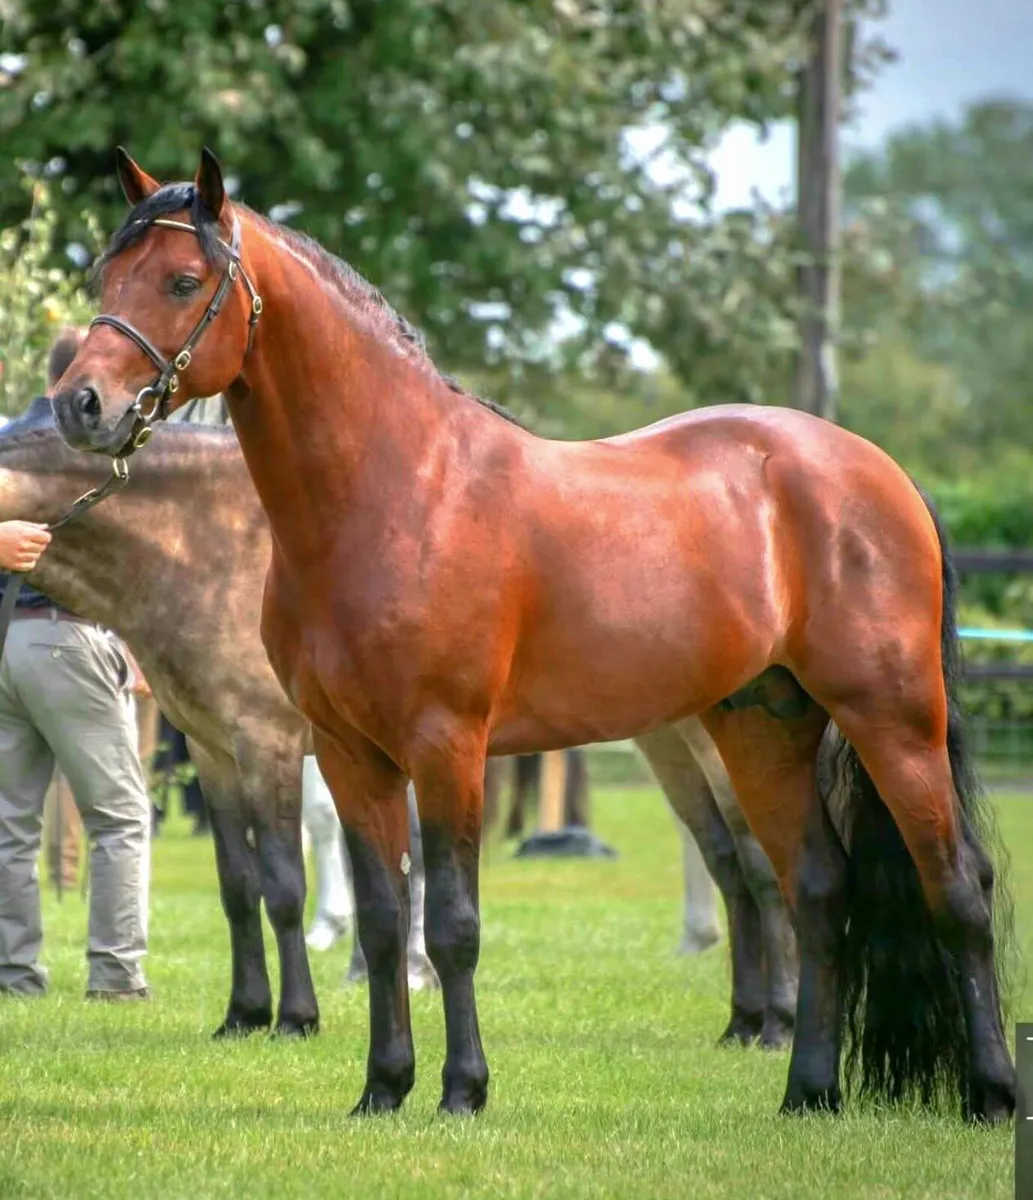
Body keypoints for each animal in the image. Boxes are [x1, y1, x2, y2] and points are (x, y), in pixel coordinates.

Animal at [0, 396, 438, 1034]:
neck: (206, 549)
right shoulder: (211, 748)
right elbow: (237, 884)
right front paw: (245, 1013)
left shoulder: (267, 743)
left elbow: (283, 883)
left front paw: (297, 1017)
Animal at [52, 147, 1015, 1124]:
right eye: (107, 275)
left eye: (182, 280)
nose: (80, 405)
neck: (397, 492)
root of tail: (874, 470)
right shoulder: (350, 754)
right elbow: (383, 920)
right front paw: (383, 1088)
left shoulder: (445, 745)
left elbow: (452, 925)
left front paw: (462, 1091)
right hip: (762, 728)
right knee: (818, 891)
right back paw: (808, 1094)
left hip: (892, 719)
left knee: (955, 888)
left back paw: (989, 1093)